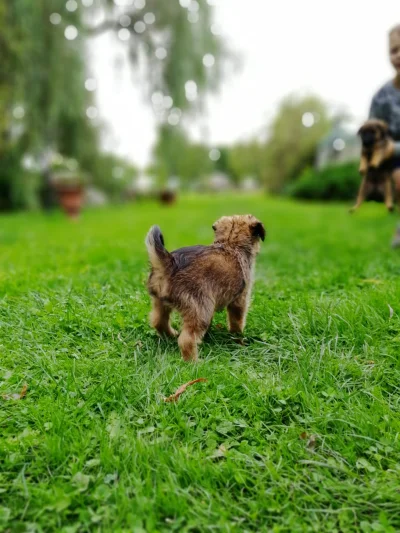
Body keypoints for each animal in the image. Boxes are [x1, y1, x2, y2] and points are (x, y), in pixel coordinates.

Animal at [145, 214, 266, 360]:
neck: (230, 243)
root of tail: (170, 264)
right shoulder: (239, 300)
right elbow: (237, 323)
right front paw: (239, 340)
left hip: (161, 303)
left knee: (159, 322)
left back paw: (171, 335)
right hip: (200, 310)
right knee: (186, 339)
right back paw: (195, 361)